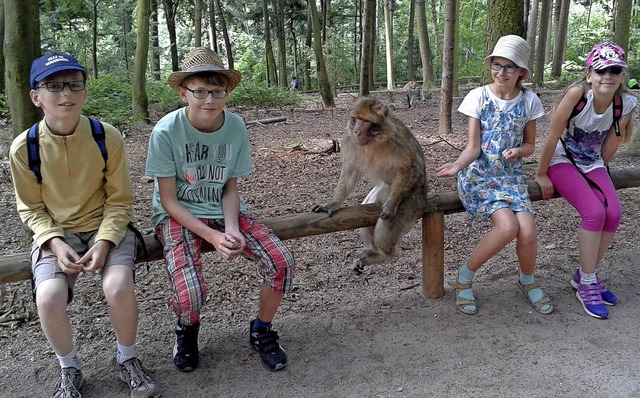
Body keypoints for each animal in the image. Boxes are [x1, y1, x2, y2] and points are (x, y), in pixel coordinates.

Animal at [312, 98, 428, 276]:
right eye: (357, 119)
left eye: (366, 121)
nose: (357, 132)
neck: (375, 141)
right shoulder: (350, 140)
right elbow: (350, 170)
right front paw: (334, 203)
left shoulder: (397, 141)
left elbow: (410, 168)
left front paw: (391, 205)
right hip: (381, 191)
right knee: (366, 218)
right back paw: (371, 254)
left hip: (414, 200)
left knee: (385, 231)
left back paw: (385, 256)